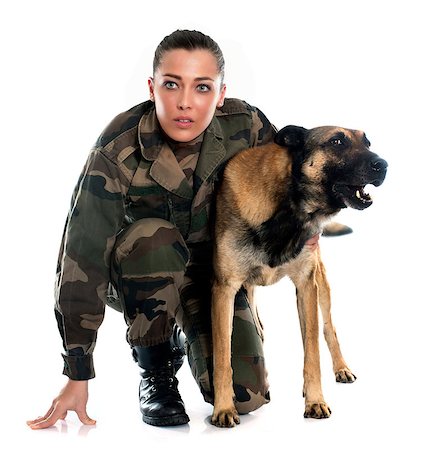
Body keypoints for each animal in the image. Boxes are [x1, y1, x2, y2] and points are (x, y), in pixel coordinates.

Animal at [210, 125, 388, 428]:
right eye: (337, 141)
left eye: (367, 142)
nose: (384, 165)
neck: (287, 209)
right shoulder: (224, 289)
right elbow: (222, 356)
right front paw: (223, 408)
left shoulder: (306, 285)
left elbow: (312, 351)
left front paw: (315, 400)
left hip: (321, 287)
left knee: (326, 329)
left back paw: (340, 368)